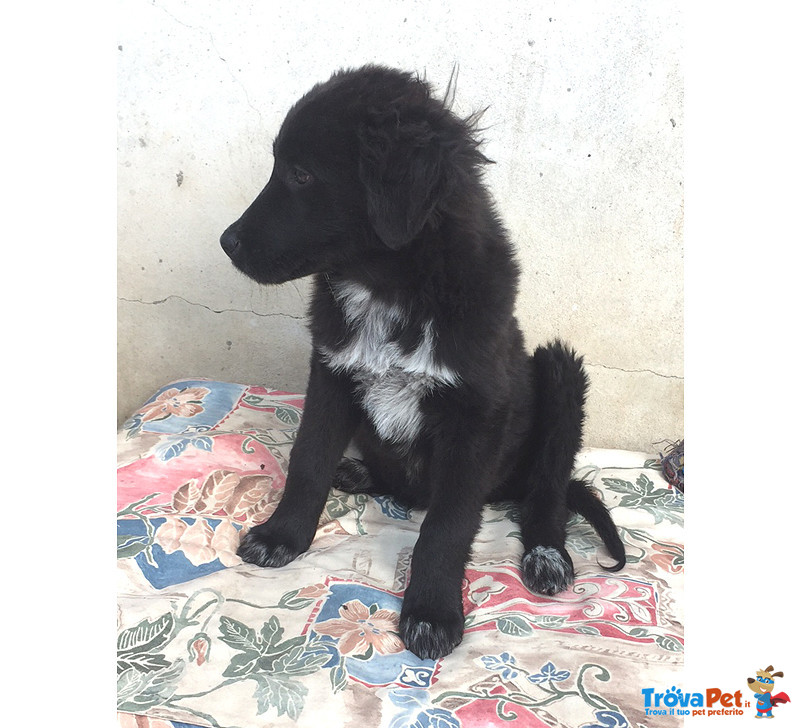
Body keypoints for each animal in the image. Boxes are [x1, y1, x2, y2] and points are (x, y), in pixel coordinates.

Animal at [220, 67, 624, 660]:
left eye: (301, 174)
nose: (226, 243)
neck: (389, 290)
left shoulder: (477, 415)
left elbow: (446, 526)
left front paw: (432, 611)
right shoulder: (331, 373)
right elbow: (307, 461)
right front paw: (282, 536)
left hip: (559, 373)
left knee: (547, 488)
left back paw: (546, 553)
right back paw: (361, 471)